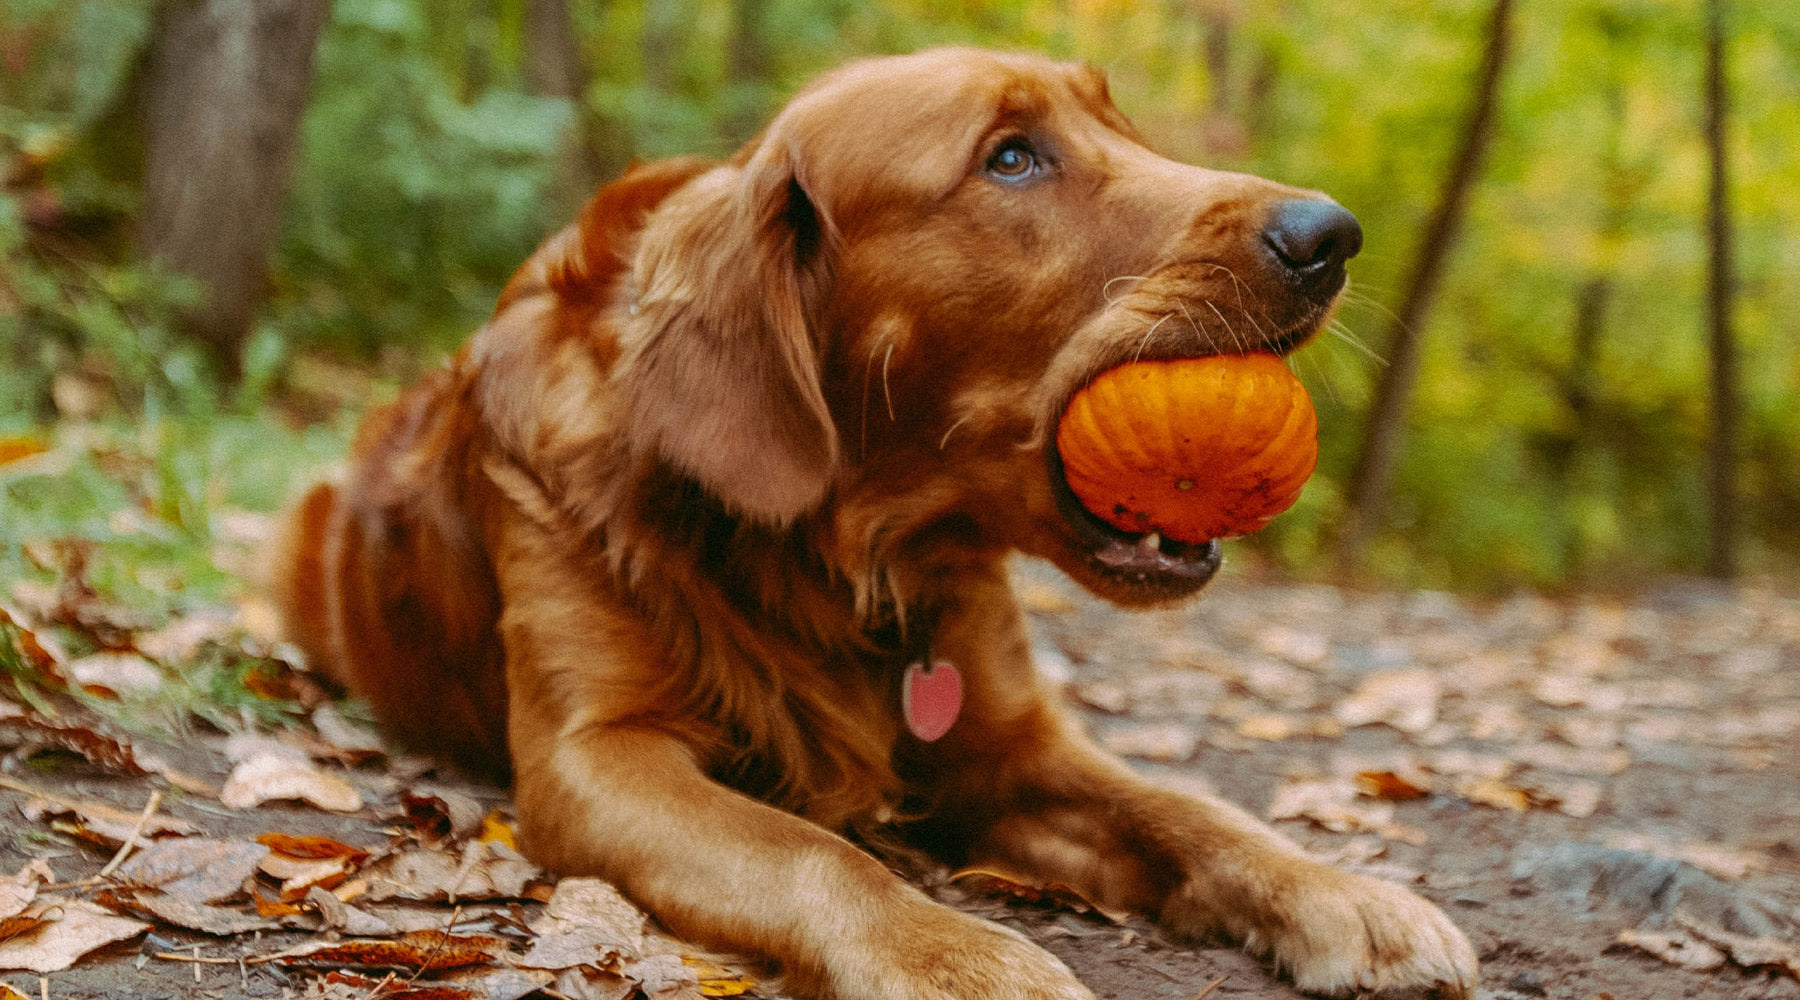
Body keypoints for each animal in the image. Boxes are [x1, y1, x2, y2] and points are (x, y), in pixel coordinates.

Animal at [277, 44, 1476, 1000]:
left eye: (1121, 126)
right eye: (1011, 158)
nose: (1331, 234)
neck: (855, 558)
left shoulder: (1013, 744)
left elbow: (1185, 807)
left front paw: (1345, 895)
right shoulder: (598, 755)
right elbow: (811, 849)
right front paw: (963, 961)